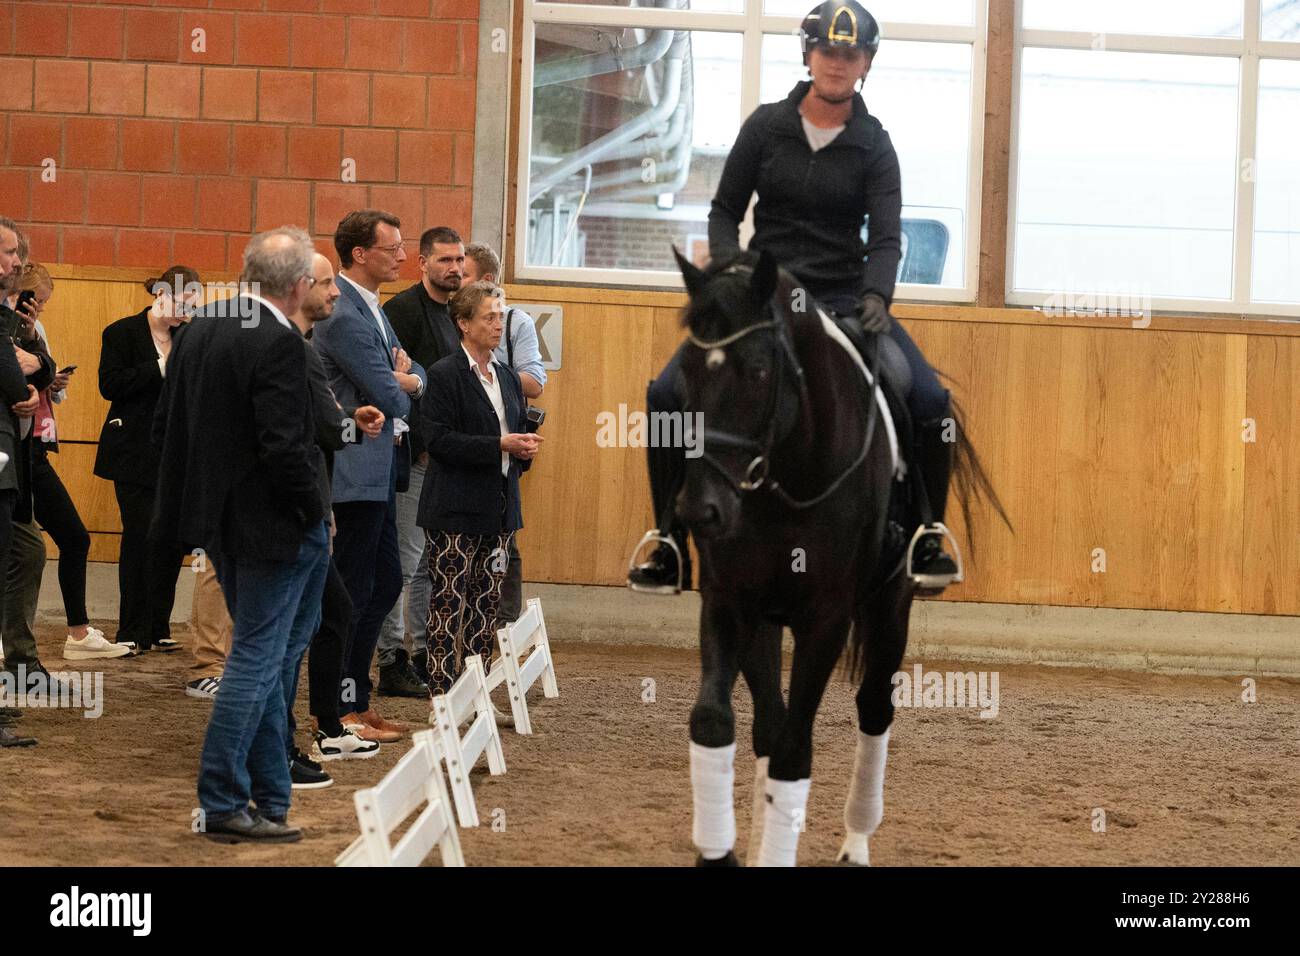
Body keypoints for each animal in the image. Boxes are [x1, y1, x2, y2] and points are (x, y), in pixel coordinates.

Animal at [670, 244, 1003, 868]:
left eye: (759, 370)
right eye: (686, 370)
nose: (701, 511)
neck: (786, 476)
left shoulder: (826, 618)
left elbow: (795, 752)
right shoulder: (730, 602)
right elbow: (717, 722)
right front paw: (721, 851)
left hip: (890, 606)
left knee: (873, 711)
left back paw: (855, 844)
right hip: (767, 619)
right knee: (768, 726)